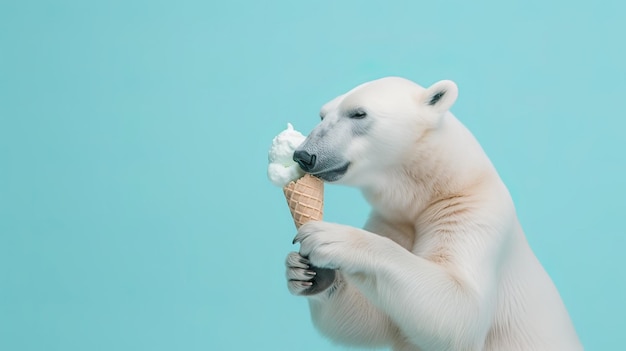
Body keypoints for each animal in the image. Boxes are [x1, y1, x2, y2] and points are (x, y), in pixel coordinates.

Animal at [286, 78, 584, 351]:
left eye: (359, 113)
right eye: (322, 115)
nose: (304, 155)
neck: (431, 187)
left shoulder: (472, 211)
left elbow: (458, 308)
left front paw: (329, 237)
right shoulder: (393, 219)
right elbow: (371, 319)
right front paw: (306, 271)